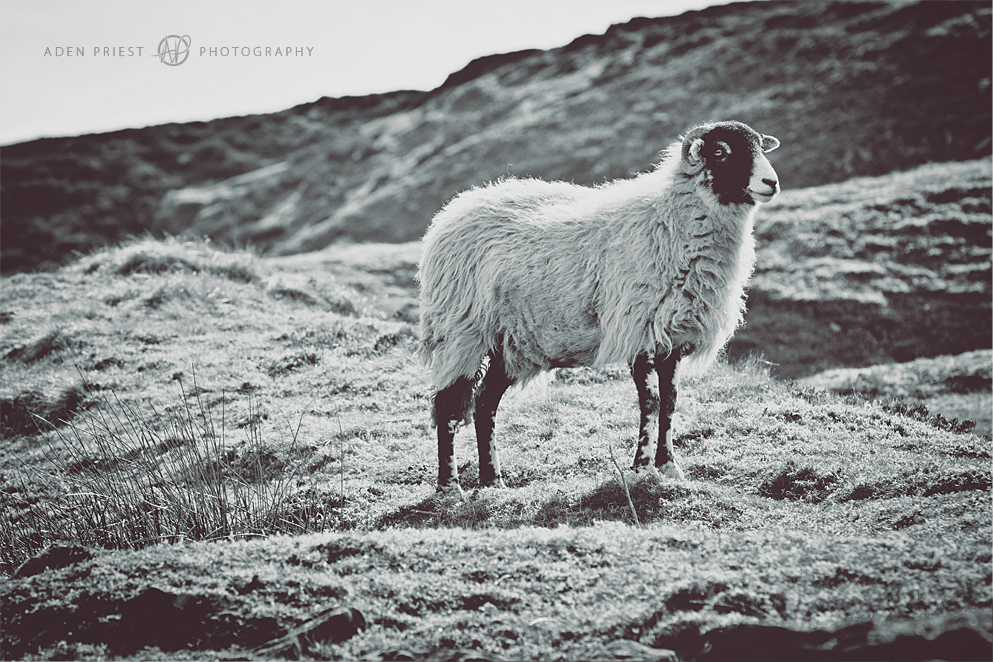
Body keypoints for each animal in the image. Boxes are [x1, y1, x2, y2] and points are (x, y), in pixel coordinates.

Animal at [414, 120, 780, 492]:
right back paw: (450, 486)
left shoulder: (673, 338)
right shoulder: (639, 331)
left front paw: (669, 467)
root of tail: (452, 212)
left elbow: (671, 401)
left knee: (485, 403)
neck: (670, 221)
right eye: (720, 152)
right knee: (446, 405)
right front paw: (641, 467)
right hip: (461, 331)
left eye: (760, 147)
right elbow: (651, 402)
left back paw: (493, 481)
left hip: (511, 342)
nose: (772, 183)